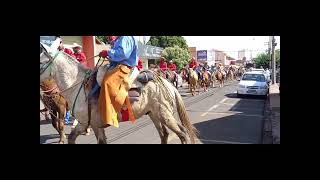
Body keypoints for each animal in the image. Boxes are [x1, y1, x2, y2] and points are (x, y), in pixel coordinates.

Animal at [39, 43, 198, 144]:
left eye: (40, 62)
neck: (78, 85)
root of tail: (167, 84)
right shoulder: (92, 124)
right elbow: (73, 138)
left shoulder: (86, 123)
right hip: (154, 114)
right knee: (164, 134)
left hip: (165, 115)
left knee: (182, 133)